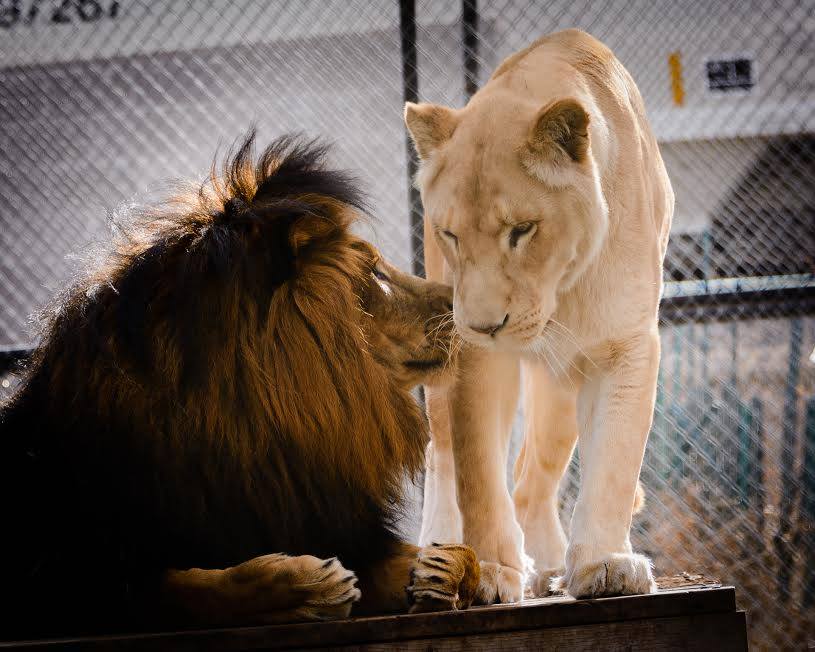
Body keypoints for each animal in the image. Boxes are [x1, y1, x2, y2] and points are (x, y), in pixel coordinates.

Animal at [0, 132, 482, 636]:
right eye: (374, 272)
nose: (460, 307)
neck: (253, 429)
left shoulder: (321, 510)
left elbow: (470, 558)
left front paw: (438, 571)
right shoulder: (78, 577)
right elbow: (187, 590)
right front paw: (306, 588)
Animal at [404, 30, 672, 600]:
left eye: (522, 230)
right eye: (450, 233)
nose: (487, 325)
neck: (561, 291)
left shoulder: (627, 345)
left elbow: (614, 463)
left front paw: (604, 564)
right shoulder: (474, 355)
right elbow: (478, 473)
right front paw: (492, 570)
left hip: (560, 392)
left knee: (533, 479)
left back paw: (549, 567)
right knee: (443, 455)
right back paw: (441, 555)